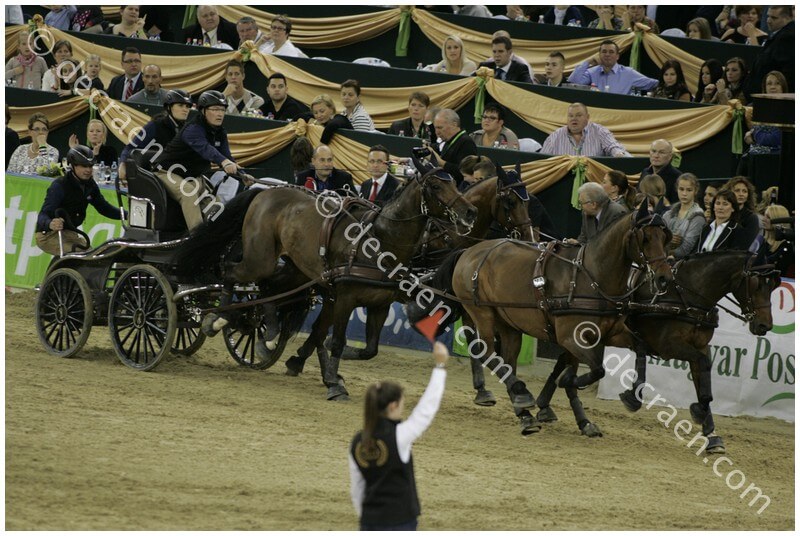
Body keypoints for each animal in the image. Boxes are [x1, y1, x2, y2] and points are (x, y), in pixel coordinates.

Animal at [175, 168, 477, 400]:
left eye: (455, 182)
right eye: (437, 186)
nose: (469, 211)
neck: (380, 241)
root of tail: (265, 191)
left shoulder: (379, 305)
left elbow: (369, 350)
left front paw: (330, 370)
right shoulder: (345, 297)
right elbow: (339, 341)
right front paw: (333, 381)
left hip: (297, 268)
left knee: (270, 289)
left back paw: (267, 334)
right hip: (260, 258)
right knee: (233, 274)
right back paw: (217, 319)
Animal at [408, 201, 674, 434]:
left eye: (665, 238)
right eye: (645, 238)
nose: (664, 279)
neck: (592, 277)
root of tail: (469, 251)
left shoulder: (609, 333)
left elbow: (639, 348)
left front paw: (618, 404)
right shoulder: (571, 338)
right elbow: (596, 370)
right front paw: (567, 384)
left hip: (509, 324)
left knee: (507, 361)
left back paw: (523, 411)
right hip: (482, 312)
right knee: (486, 352)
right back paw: (521, 396)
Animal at [534, 250, 780, 453]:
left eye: (774, 287)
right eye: (757, 284)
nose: (765, 325)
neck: (686, 295)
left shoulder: (700, 346)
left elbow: (703, 377)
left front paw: (712, 434)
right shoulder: (670, 346)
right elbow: (701, 367)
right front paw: (698, 411)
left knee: (563, 360)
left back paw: (545, 404)